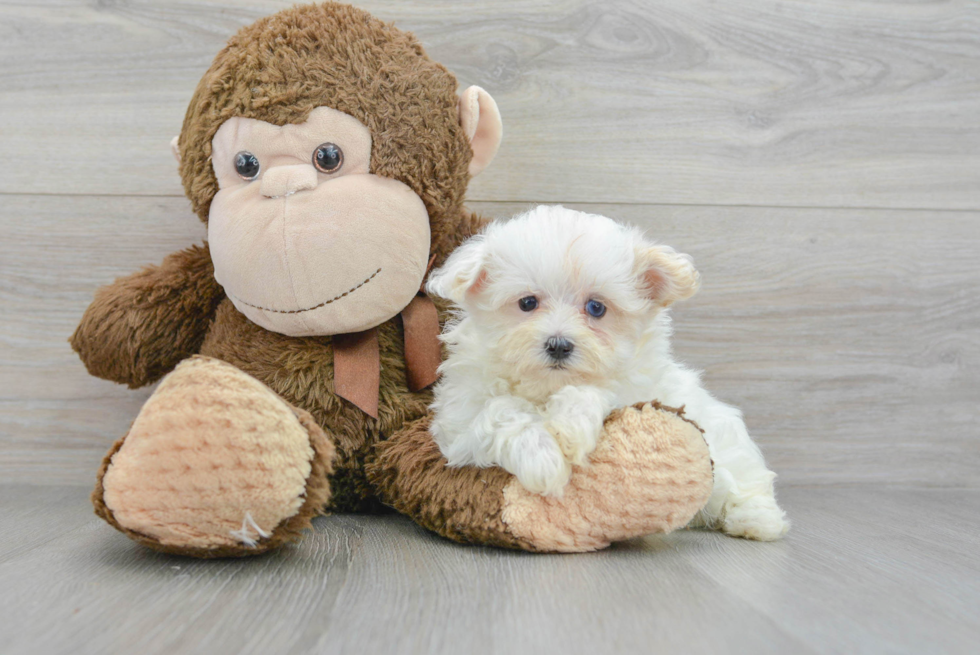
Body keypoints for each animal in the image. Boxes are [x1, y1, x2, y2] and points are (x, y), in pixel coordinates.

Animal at [426, 206, 788, 544]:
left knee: (744, 481)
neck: (545, 389)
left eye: (596, 308)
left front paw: (569, 425)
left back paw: (756, 520)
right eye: (527, 303)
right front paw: (541, 458)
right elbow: (499, 411)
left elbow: (598, 392)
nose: (559, 345)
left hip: (726, 445)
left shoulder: (638, 391)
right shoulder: (459, 425)